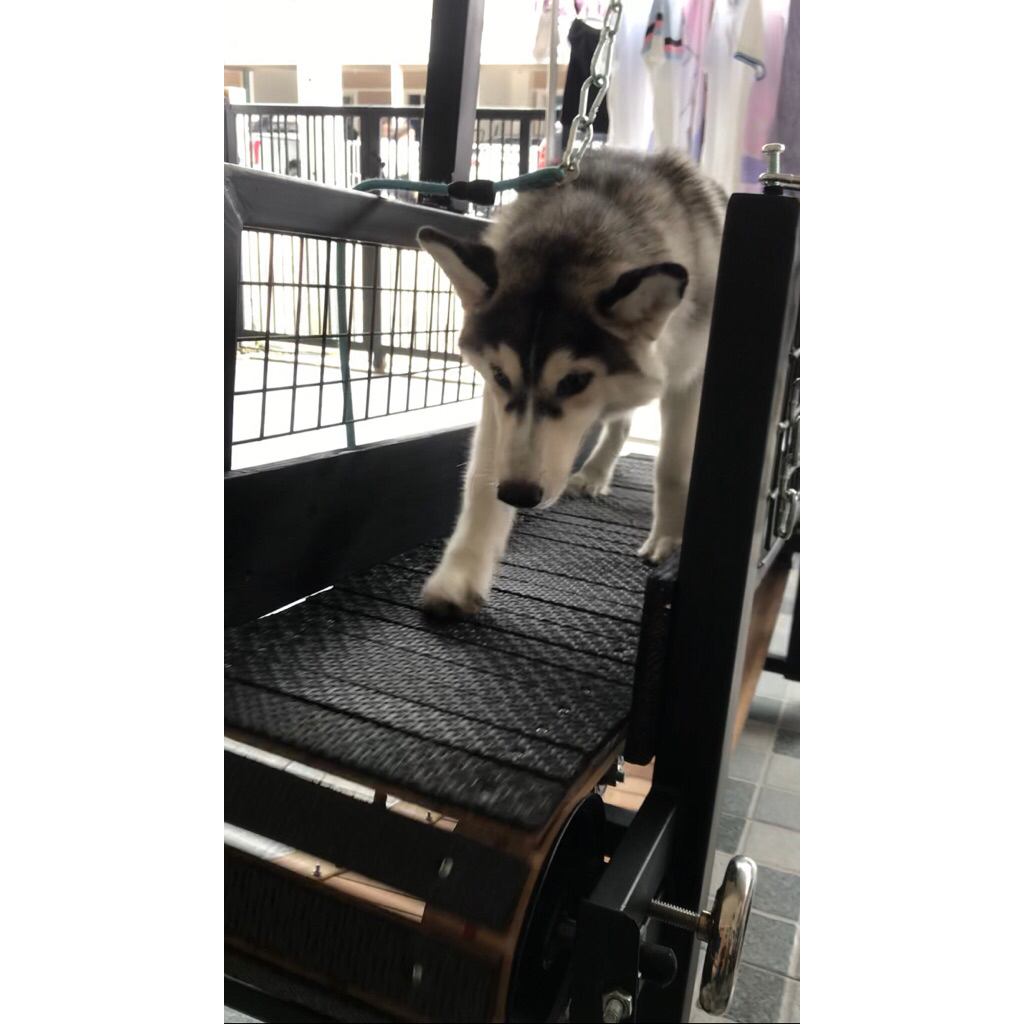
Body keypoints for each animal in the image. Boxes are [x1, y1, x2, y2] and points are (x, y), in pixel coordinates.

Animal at [416, 148, 727, 616]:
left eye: (575, 380)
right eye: (501, 374)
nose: (519, 494)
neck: (583, 225)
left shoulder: (692, 377)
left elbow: (672, 466)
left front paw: (671, 539)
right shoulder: (497, 402)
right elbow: (481, 478)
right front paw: (460, 577)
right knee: (621, 421)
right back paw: (595, 471)